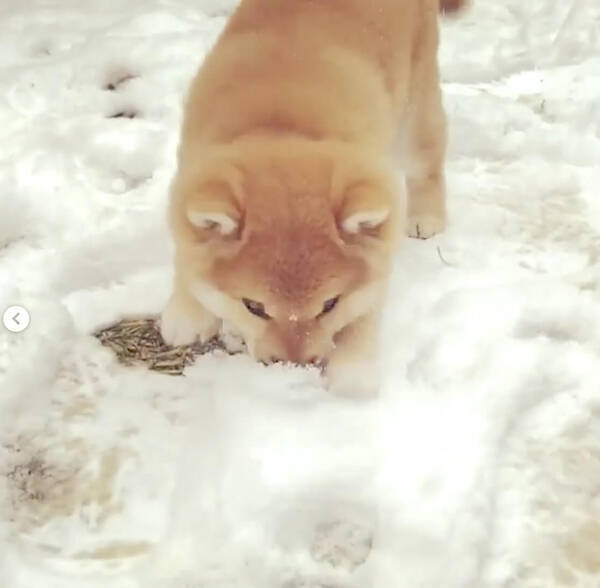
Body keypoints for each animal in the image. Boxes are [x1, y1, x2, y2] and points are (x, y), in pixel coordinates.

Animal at [161, 1, 468, 396]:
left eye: (330, 304)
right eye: (253, 307)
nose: (294, 364)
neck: (283, 128)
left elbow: (367, 304)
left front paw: (353, 366)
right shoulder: (190, 175)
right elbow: (187, 253)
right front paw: (187, 310)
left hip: (416, 105)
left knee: (427, 163)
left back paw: (426, 216)